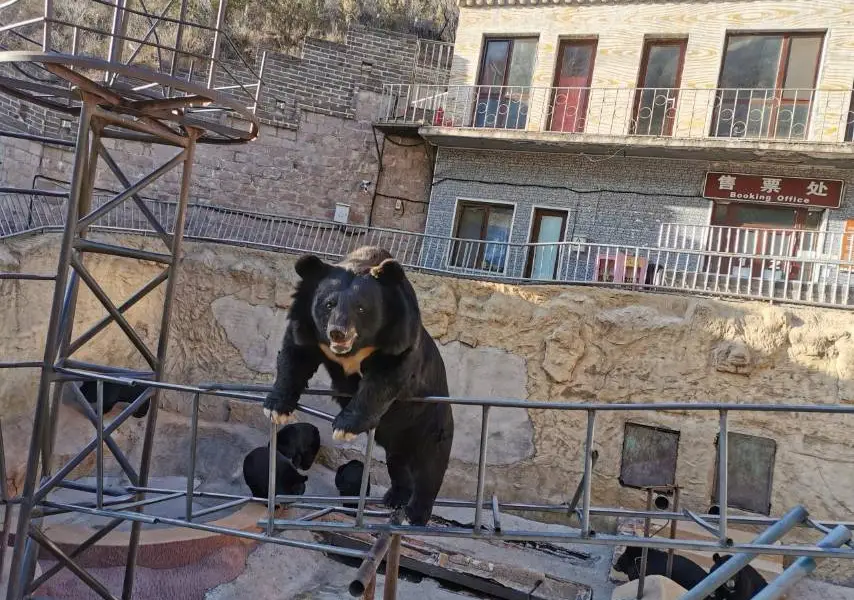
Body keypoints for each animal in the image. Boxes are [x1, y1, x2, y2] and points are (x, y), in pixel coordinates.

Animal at [264, 245, 454, 524]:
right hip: (399, 445)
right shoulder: (306, 325)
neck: (354, 348)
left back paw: (414, 514)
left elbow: (383, 379)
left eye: (361, 308)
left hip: (431, 423)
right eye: (329, 304)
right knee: (398, 465)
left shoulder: (399, 334)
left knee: (430, 470)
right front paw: (276, 408)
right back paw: (393, 498)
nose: (337, 332)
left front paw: (345, 427)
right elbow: (295, 355)